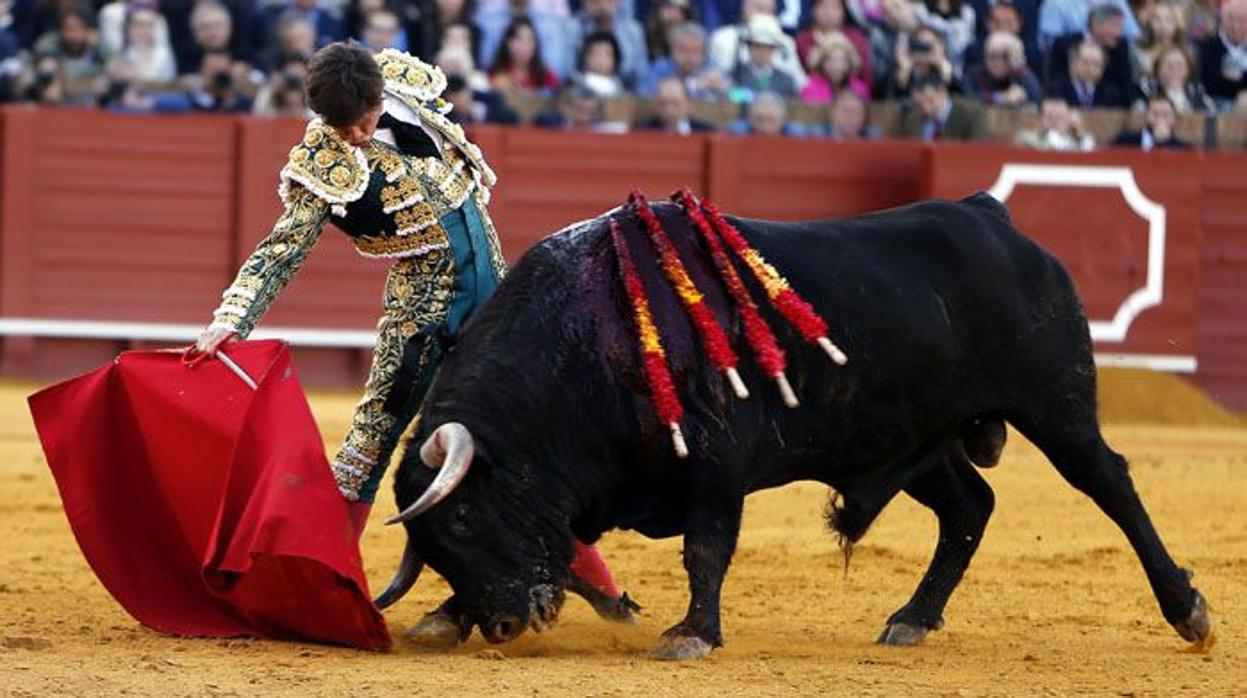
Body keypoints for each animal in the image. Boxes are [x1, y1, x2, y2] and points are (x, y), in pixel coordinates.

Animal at [376, 193, 1207, 658]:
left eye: (467, 518)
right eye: (436, 545)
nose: (507, 624)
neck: (588, 340)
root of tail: (987, 216)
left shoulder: (716, 469)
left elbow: (705, 550)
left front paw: (691, 635)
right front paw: (444, 617)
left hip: (1055, 403)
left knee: (1109, 484)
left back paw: (1187, 611)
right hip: (913, 437)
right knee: (970, 505)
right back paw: (911, 619)